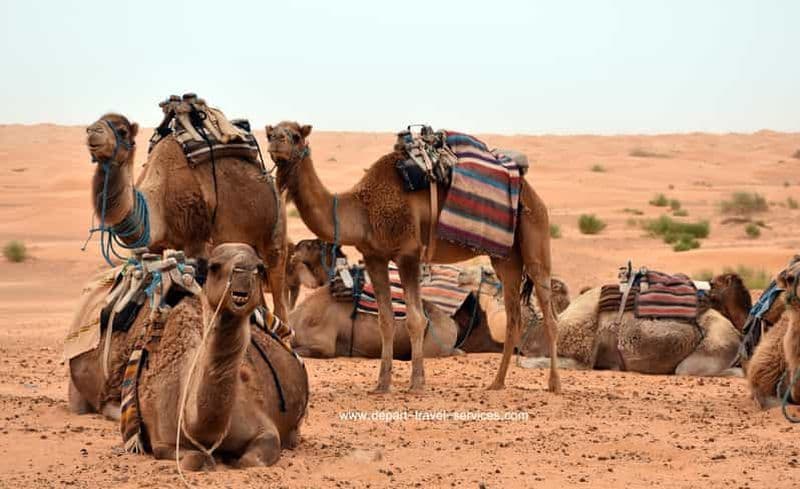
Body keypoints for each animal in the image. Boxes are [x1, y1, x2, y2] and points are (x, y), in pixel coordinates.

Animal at [85, 113, 289, 322]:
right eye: (93, 125)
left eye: (123, 131)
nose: (93, 131)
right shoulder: (154, 246)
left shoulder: (195, 238)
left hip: (275, 234)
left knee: (278, 287)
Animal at [135, 243, 308, 470]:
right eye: (214, 266)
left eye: (260, 267)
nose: (243, 271)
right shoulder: (161, 439)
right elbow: (194, 458)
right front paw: (210, 460)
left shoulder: (264, 428)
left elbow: (251, 460)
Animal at [266, 122, 559, 393]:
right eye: (271, 132)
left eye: (295, 135)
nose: (275, 141)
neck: (361, 210)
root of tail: (528, 188)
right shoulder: (374, 256)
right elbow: (385, 321)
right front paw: (382, 384)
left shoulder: (408, 254)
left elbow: (416, 319)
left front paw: (417, 382)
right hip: (505, 257)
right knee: (513, 317)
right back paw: (497, 383)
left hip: (536, 233)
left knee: (548, 307)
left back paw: (554, 383)